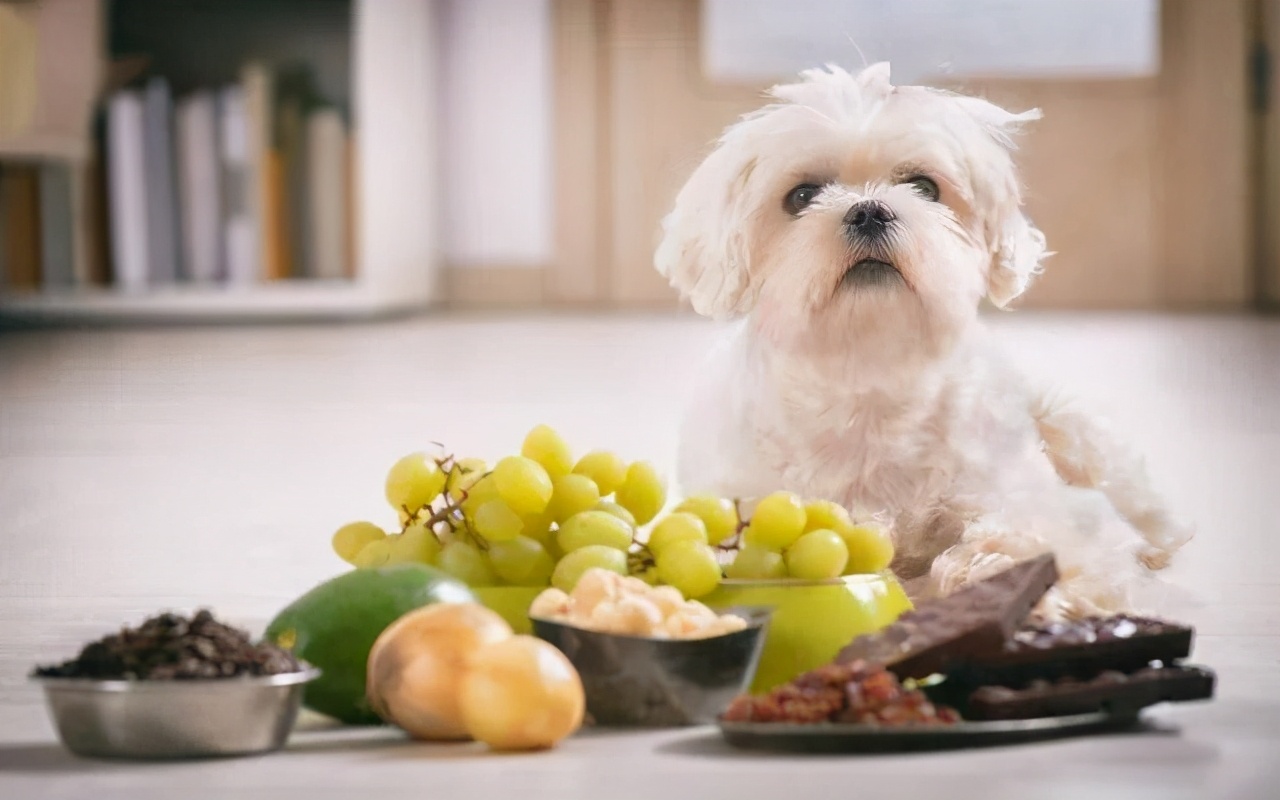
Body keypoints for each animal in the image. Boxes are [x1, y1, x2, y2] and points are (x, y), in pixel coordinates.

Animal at [655, 62, 1192, 616]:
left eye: (924, 187)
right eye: (802, 196)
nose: (868, 210)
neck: (869, 372)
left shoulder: (1013, 495)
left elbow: (1028, 536)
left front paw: (1007, 574)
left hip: (1075, 429)